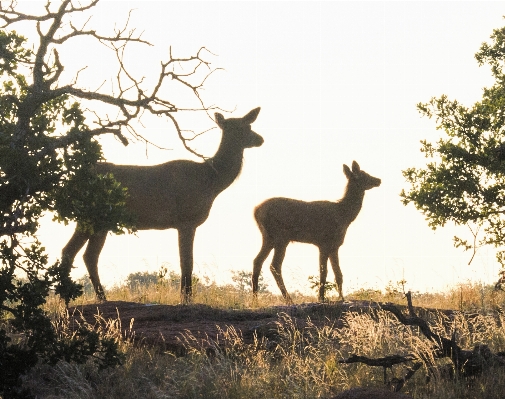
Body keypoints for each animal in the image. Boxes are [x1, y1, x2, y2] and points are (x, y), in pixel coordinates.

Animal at [62, 108, 264, 302]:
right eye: (239, 128)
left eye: (248, 125)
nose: (260, 139)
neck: (210, 182)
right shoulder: (186, 219)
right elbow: (187, 261)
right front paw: (186, 297)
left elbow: (186, 261)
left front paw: (185, 295)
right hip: (93, 216)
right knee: (75, 252)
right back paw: (76, 297)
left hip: (99, 221)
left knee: (83, 254)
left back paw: (92, 297)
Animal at [252, 162, 378, 304]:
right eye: (364, 175)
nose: (379, 180)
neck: (343, 216)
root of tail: (256, 211)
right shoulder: (324, 242)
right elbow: (324, 271)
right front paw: (321, 298)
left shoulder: (335, 246)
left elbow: (338, 274)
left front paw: (341, 298)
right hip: (281, 237)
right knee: (274, 265)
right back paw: (288, 299)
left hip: (269, 237)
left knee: (257, 261)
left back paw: (255, 299)